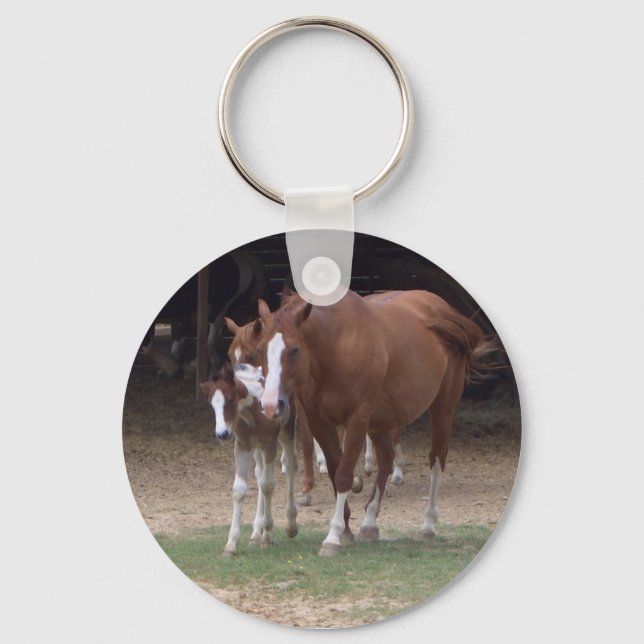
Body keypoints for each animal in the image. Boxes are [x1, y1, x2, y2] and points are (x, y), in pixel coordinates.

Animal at [199, 361, 298, 556]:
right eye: (211, 404)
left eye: (231, 399)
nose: (222, 434)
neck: (253, 413)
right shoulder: (243, 445)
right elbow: (240, 489)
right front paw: (231, 544)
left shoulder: (270, 444)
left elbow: (268, 485)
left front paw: (267, 536)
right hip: (256, 448)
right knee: (259, 474)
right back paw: (255, 533)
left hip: (287, 431)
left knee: (290, 467)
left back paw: (290, 525)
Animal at [256, 288, 494, 556]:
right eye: (261, 348)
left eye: (295, 349)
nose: (270, 404)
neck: (337, 347)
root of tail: (442, 309)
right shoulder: (320, 423)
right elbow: (335, 472)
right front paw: (347, 531)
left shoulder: (357, 420)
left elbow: (343, 476)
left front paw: (333, 536)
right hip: (382, 421)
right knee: (386, 461)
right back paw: (370, 522)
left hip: (442, 408)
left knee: (436, 459)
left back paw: (428, 525)